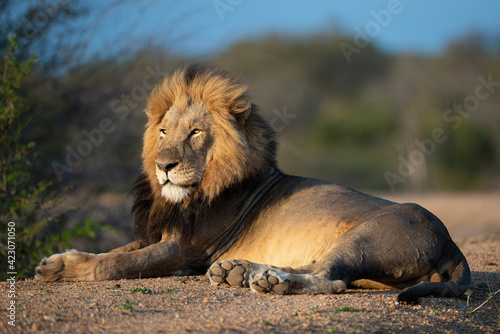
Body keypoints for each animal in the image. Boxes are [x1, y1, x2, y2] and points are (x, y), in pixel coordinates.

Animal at [37, 64, 470, 304]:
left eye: (195, 132)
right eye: (162, 132)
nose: (164, 166)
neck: (192, 193)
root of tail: (450, 241)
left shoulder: (184, 248)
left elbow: (113, 264)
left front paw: (62, 269)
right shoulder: (159, 235)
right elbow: (116, 250)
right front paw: (58, 261)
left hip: (366, 237)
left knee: (331, 279)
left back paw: (267, 281)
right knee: (324, 268)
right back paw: (238, 271)